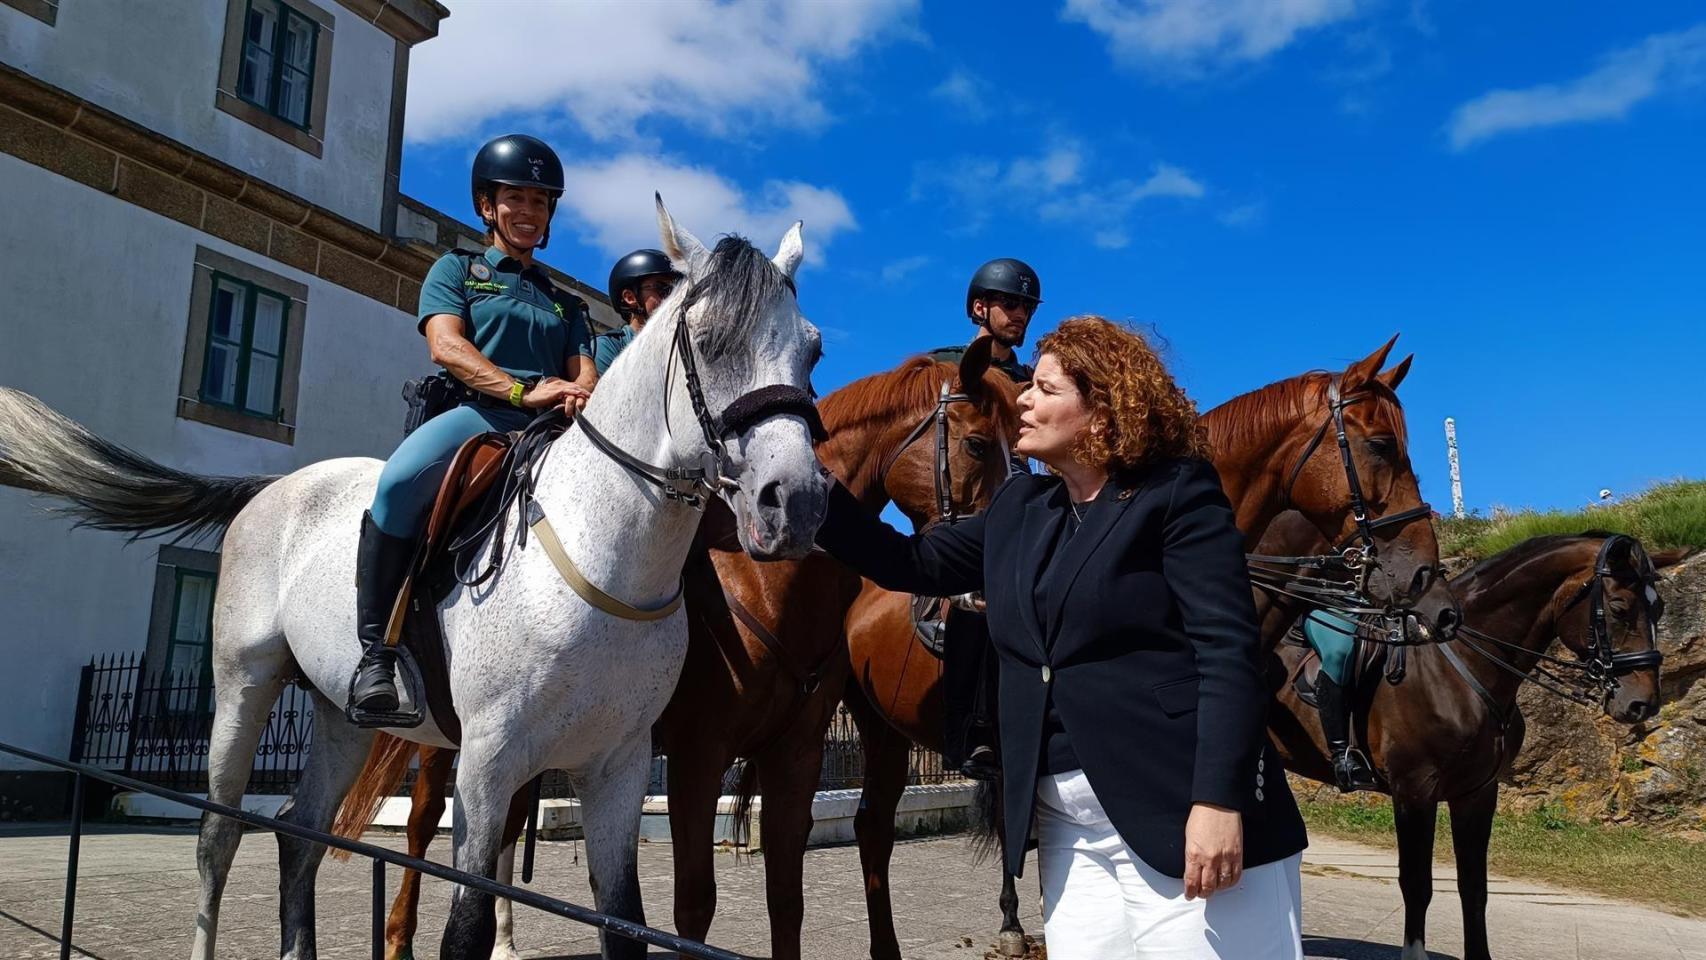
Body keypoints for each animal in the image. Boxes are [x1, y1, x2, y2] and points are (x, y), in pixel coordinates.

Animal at [0, 196, 825, 960]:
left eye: (812, 351)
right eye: (710, 341)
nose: (797, 503)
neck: (604, 556)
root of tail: (277, 487)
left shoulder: (617, 766)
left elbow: (624, 925)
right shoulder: (489, 763)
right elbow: (464, 927)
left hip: (339, 714)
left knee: (300, 831)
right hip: (243, 684)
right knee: (218, 834)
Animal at [332, 346, 1016, 960]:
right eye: (980, 445)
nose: (994, 562)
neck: (761, 581)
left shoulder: (794, 753)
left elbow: (785, 896)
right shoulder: (697, 754)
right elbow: (694, 903)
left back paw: (503, 940)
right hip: (456, 735)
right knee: (425, 822)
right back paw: (398, 938)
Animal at [1262, 514, 1671, 960]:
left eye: (1660, 608)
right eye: (1619, 608)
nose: (1643, 703)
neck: (1458, 667)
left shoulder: (1477, 794)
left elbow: (1474, 887)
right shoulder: (1415, 791)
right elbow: (1416, 884)